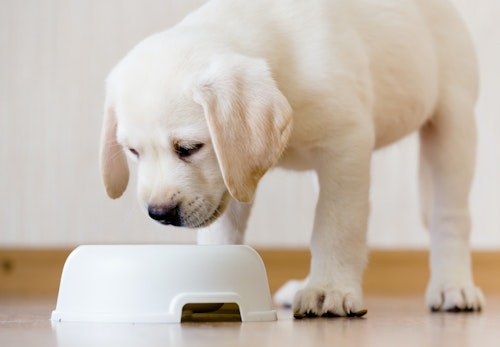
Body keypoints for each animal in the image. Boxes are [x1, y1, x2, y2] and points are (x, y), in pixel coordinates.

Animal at [100, 0, 484, 318]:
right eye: (133, 152)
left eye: (189, 148)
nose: (159, 213)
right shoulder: (233, 173)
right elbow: (223, 233)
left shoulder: (347, 146)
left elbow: (335, 224)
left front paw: (329, 289)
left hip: (453, 126)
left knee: (450, 216)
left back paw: (453, 286)